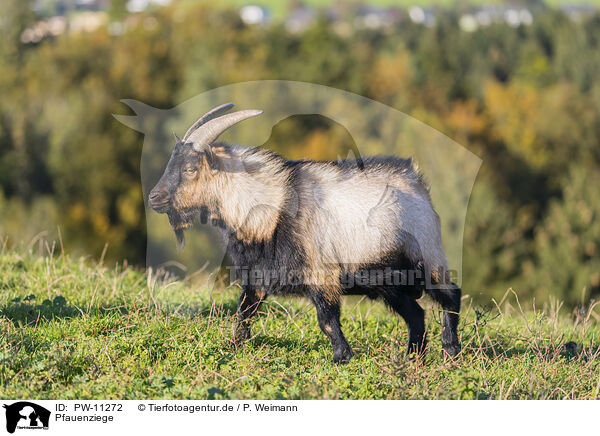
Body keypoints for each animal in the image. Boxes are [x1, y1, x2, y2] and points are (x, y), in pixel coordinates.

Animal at [148, 104, 462, 362]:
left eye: (190, 168)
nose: (154, 198)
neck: (273, 207)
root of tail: (416, 178)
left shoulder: (322, 275)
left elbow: (327, 320)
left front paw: (341, 358)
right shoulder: (257, 275)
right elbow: (243, 313)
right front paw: (233, 348)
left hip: (429, 259)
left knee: (451, 296)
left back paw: (450, 351)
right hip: (389, 282)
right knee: (416, 314)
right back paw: (413, 358)